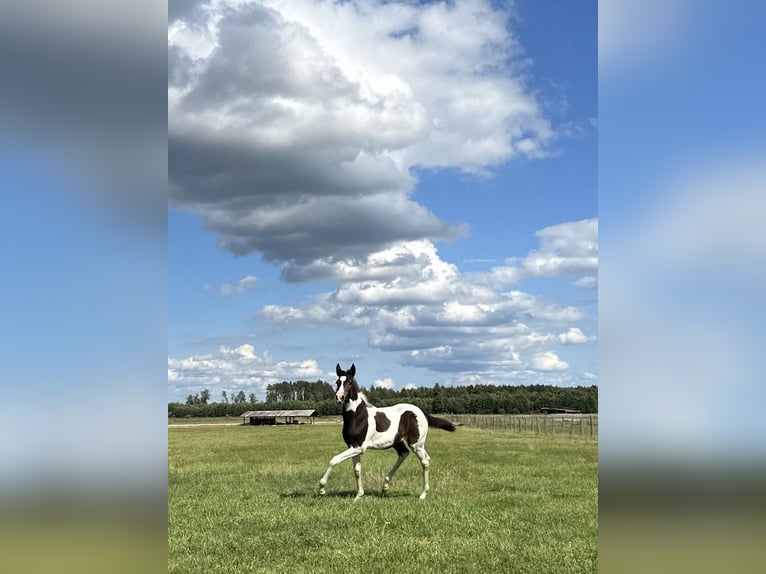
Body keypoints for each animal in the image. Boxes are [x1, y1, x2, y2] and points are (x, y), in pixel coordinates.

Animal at [318, 366, 456, 502]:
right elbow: (357, 470)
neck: (357, 417)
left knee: (425, 461)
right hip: (398, 443)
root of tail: (422, 413)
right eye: (337, 382)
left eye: (350, 382)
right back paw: (385, 487)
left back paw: (423, 495)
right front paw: (359, 495)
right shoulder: (353, 446)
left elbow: (334, 460)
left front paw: (322, 489)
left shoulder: (359, 447)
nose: (339, 397)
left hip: (416, 444)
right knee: (404, 454)